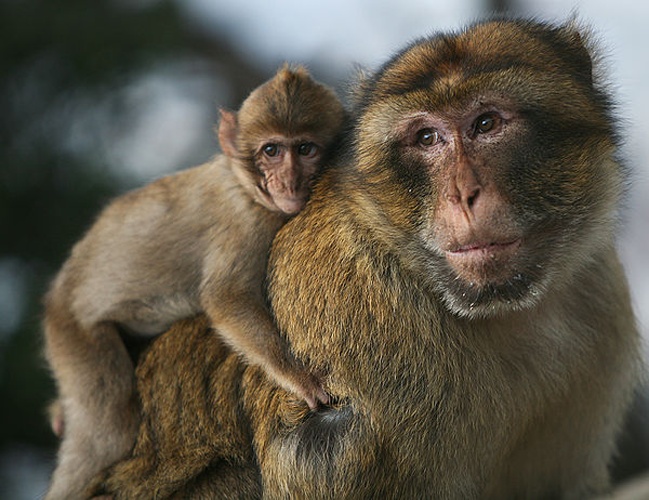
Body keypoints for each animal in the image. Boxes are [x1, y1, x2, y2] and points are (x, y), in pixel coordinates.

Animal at [42, 64, 345, 499]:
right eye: (271, 151)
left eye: (305, 149)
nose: (288, 181)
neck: (245, 184)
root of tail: (58, 292)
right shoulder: (246, 222)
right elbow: (226, 299)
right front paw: (296, 376)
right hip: (73, 332)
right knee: (107, 431)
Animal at [87, 18, 642, 499]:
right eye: (426, 138)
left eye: (486, 123)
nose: (464, 194)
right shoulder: (350, 298)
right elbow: (312, 446)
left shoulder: (597, 302)